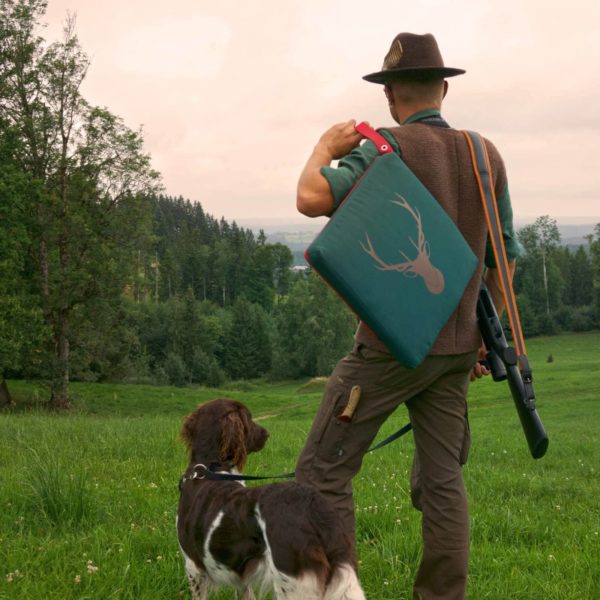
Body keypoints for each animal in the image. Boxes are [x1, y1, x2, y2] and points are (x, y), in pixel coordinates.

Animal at [177, 398, 366, 600]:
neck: (211, 468)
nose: (266, 433)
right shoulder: (240, 577)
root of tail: (314, 505)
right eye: (249, 418)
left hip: (292, 584)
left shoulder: (193, 566)